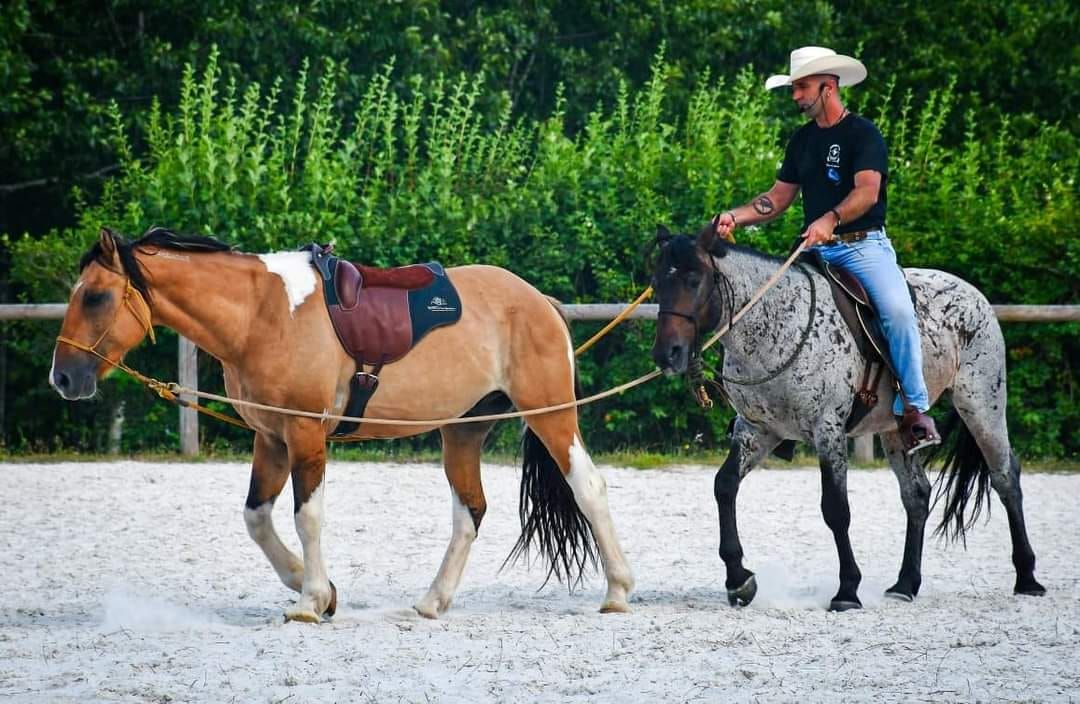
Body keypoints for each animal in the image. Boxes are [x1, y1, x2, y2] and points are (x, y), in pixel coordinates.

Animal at [50, 225, 635, 621]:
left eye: (96, 296)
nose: (63, 377)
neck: (261, 315)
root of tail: (540, 302)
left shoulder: (305, 432)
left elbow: (306, 516)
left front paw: (310, 600)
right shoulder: (271, 438)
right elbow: (257, 518)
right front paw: (318, 589)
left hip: (549, 414)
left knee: (588, 487)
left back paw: (617, 591)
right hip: (463, 431)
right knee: (469, 511)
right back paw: (432, 601)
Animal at [648, 222, 1045, 608]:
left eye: (694, 279)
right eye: (658, 283)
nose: (667, 354)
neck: (777, 325)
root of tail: (974, 295)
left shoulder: (827, 430)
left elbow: (836, 508)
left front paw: (848, 590)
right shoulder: (757, 430)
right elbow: (725, 485)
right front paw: (738, 578)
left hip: (981, 404)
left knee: (1005, 477)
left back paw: (1027, 577)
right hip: (895, 430)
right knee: (916, 494)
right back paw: (905, 584)